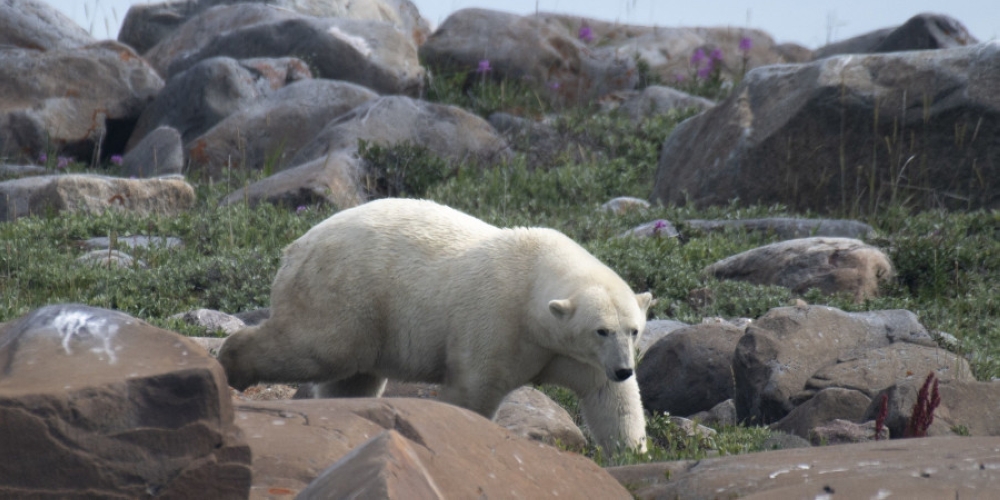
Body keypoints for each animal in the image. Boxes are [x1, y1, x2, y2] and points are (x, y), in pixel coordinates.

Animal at [218, 198, 653, 453]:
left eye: (633, 330)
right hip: (346, 292)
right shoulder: (497, 319)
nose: (624, 368)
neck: (532, 280)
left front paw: (630, 453)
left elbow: (610, 399)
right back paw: (232, 364)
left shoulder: (569, 353)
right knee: (319, 348)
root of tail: (296, 246)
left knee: (354, 377)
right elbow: (473, 389)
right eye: (601, 329)